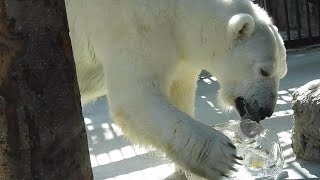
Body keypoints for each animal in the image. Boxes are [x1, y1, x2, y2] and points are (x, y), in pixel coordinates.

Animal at [65, 0, 288, 179]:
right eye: (264, 71)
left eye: (282, 72)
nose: (266, 111)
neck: (177, 11)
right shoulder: (133, 27)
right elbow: (135, 98)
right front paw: (223, 157)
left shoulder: (180, 56)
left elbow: (179, 93)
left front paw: (183, 168)